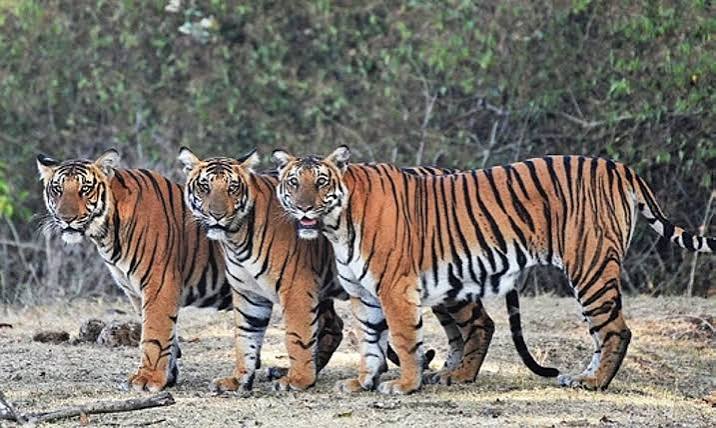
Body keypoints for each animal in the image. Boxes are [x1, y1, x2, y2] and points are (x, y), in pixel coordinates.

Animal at [36, 149, 233, 392]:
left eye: (85, 189)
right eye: (58, 189)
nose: (67, 219)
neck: (106, 233)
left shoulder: (160, 284)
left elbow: (154, 333)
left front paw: (147, 378)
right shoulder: (134, 290)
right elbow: (165, 336)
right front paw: (167, 377)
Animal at [178, 148, 557, 391]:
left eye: (232, 188)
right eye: (204, 187)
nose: (216, 215)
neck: (236, 237)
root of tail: (449, 172)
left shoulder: (296, 288)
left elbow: (297, 336)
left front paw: (298, 380)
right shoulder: (249, 296)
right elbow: (245, 339)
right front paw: (238, 379)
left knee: (481, 324)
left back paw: (461, 375)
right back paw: (441, 372)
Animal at [272, 146, 715, 394]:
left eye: (321, 181)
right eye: (293, 182)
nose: (305, 207)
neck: (336, 227)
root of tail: (617, 165)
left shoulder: (395, 289)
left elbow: (402, 341)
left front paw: (404, 386)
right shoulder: (364, 296)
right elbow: (370, 344)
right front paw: (362, 383)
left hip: (590, 268)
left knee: (615, 330)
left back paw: (594, 383)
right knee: (593, 333)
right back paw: (573, 378)